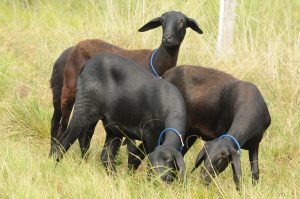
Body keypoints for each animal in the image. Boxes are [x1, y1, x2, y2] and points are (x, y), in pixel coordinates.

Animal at [50, 10, 203, 157]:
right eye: (162, 21)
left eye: (182, 22)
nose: (167, 38)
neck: (156, 61)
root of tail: (77, 46)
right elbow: (131, 146)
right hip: (68, 92)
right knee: (61, 127)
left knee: (78, 131)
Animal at [51, 53, 188, 183]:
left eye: (168, 171)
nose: (159, 183)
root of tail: (86, 65)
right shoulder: (150, 136)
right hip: (84, 109)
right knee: (64, 141)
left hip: (113, 127)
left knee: (105, 156)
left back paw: (114, 179)